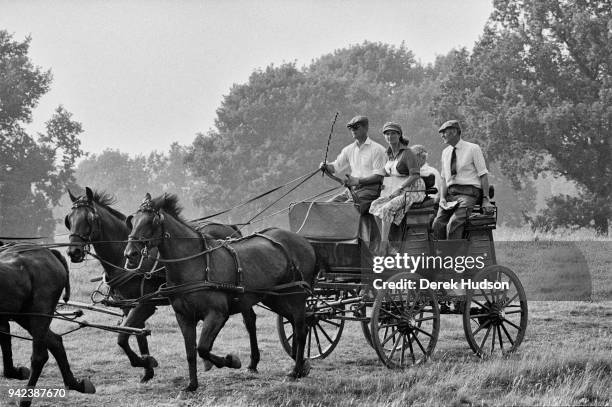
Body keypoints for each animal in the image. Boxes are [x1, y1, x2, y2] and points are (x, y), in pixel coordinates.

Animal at [0, 244, 95, 406]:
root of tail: (48, 251)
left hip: (39, 314)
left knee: (39, 357)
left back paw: (25, 399)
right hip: (24, 316)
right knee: (55, 341)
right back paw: (74, 384)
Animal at [63, 188, 243, 382]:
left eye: (89, 218)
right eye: (69, 219)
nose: (73, 252)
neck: (123, 259)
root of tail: (230, 227)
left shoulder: (146, 304)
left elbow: (123, 336)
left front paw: (144, 362)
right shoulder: (129, 305)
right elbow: (135, 334)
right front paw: (147, 367)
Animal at [124, 194, 316, 392]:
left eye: (152, 221)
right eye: (133, 220)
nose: (130, 253)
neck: (195, 264)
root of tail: (303, 241)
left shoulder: (217, 314)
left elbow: (202, 348)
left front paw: (231, 361)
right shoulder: (184, 316)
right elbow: (191, 352)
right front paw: (192, 385)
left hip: (296, 297)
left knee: (301, 329)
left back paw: (295, 371)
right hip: (275, 298)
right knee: (298, 325)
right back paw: (302, 366)